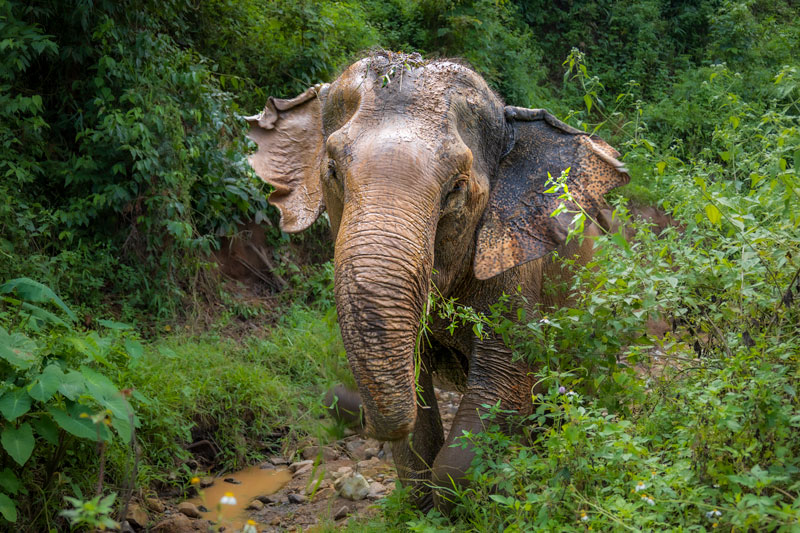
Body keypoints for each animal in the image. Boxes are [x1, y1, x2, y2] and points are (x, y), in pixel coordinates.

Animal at [246, 51, 629, 511]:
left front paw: (466, 499)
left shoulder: (514, 268)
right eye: (332, 170)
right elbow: (419, 391)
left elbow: (505, 377)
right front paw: (422, 500)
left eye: (456, 189)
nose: (343, 403)